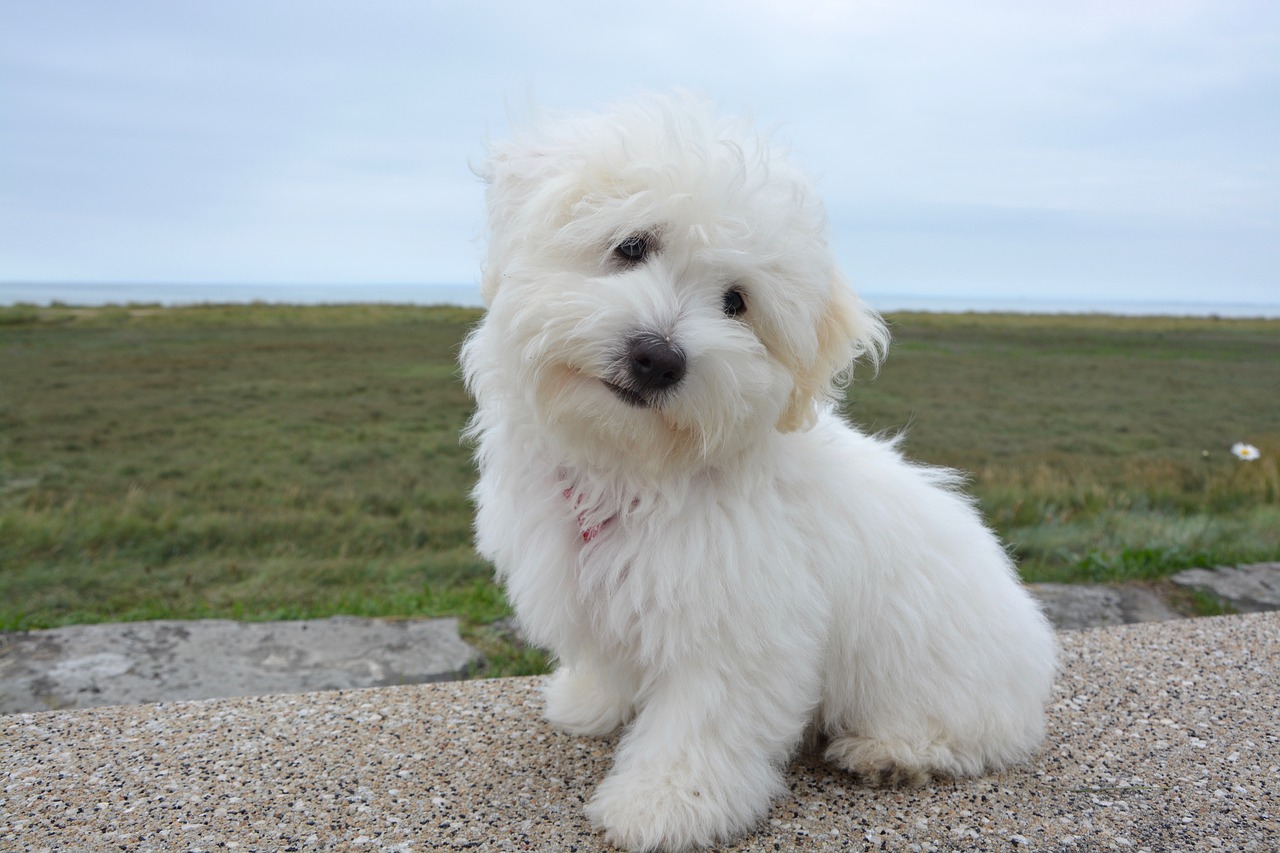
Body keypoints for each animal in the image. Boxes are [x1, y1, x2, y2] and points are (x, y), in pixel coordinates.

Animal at [465, 92, 1054, 850]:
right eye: (632, 246)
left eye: (736, 302)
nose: (657, 357)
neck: (635, 469)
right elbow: (611, 658)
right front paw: (590, 701)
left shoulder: (737, 628)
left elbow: (700, 723)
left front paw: (663, 804)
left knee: (969, 733)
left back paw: (892, 750)